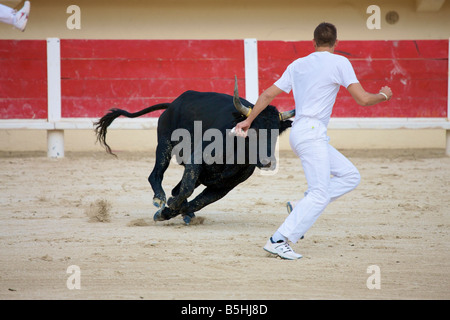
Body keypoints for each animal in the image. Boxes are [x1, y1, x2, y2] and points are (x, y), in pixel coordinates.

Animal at [94, 78, 296, 222]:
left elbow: (198, 202)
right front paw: (167, 208)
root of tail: (174, 103)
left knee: (176, 188)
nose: (267, 162)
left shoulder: (225, 186)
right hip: (164, 144)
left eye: (276, 133)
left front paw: (171, 212)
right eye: (252, 130)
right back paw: (159, 198)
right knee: (156, 175)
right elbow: (187, 189)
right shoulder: (196, 161)